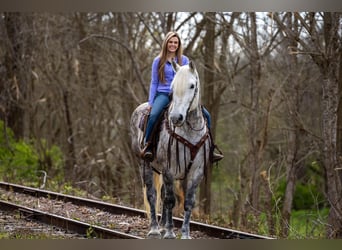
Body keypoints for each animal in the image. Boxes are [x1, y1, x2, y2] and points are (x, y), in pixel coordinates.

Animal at [130, 60, 211, 238]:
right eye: (172, 87)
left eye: (192, 86)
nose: (176, 118)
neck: (189, 132)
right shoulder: (169, 169)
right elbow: (169, 200)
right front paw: (169, 232)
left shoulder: (196, 171)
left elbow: (188, 202)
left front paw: (185, 234)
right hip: (144, 164)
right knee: (153, 195)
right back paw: (155, 229)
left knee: (162, 194)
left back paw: (160, 227)